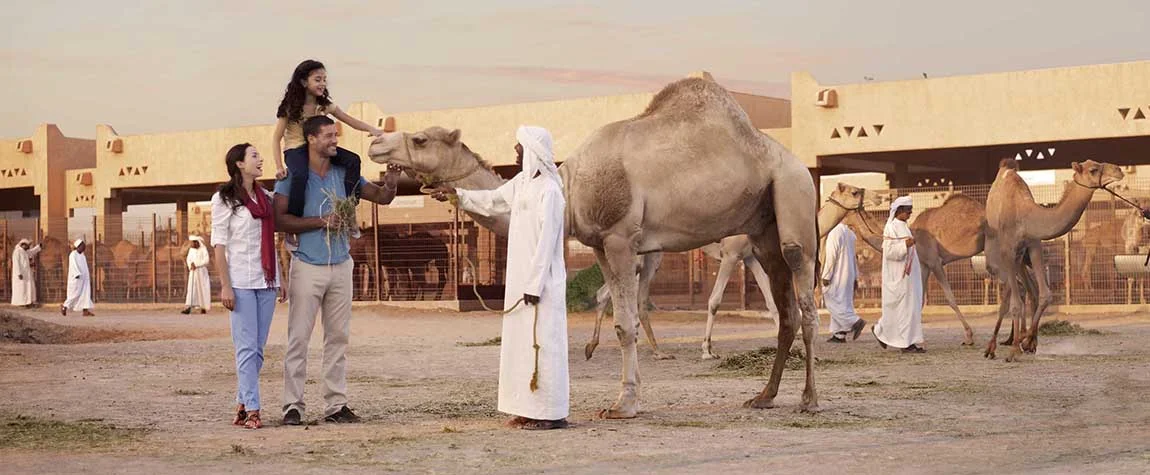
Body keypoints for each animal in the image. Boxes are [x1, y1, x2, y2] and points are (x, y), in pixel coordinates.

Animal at [372, 77, 823, 414]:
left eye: (420, 139)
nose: (376, 144)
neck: (570, 186)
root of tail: (794, 160)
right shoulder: (601, 245)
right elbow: (622, 314)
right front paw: (630, 394)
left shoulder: (621, 237)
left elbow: (626, 322)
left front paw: (624, 403)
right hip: (763, 230)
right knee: (785, 309)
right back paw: (764, 396)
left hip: (794, 194)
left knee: (804, 297)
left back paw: (809, 399)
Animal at [984, 157, 1127, 361]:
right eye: (1093, 169)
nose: (1119, 170)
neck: (1025, 216)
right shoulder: (1008, 251)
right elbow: (1015, 303)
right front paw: (1015, 349)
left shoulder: (1033, 246)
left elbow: (1045, 294)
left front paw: (1028, 342)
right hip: (1002, 257)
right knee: (1009, 296)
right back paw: (994, 347)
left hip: (1021, 258)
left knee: (1029, 290)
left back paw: (1022, 340)